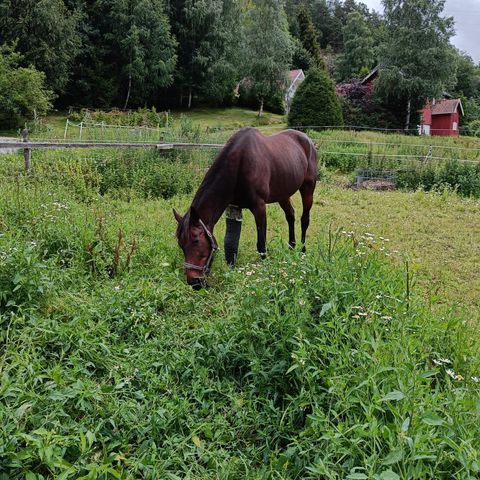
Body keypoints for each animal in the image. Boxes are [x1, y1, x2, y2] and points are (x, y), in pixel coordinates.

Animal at [174, 125, 316, 288]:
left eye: (196, 241)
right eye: (180, 243)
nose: (194, 282)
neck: (240, 162)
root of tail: (307, 139)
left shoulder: (259, 207)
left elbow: (261, 245)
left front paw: (265, 272)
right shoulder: (233, 207)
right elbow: (230, 243)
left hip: (308, 187)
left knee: (304, 219)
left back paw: (302, 251)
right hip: (283, 193)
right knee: (290, 215)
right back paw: (291, 247)